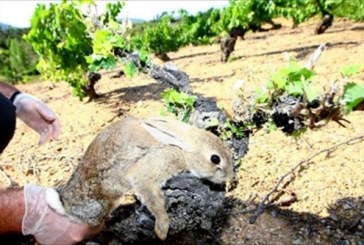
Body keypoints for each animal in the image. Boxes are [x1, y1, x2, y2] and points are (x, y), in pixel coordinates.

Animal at [45, 116, 235, 240]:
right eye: (215, 159)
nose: (230, 176)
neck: (181, 149)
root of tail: (65, 203)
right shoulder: (149, 170)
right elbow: (152, 198)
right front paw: (162, 229)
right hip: (101, 201)